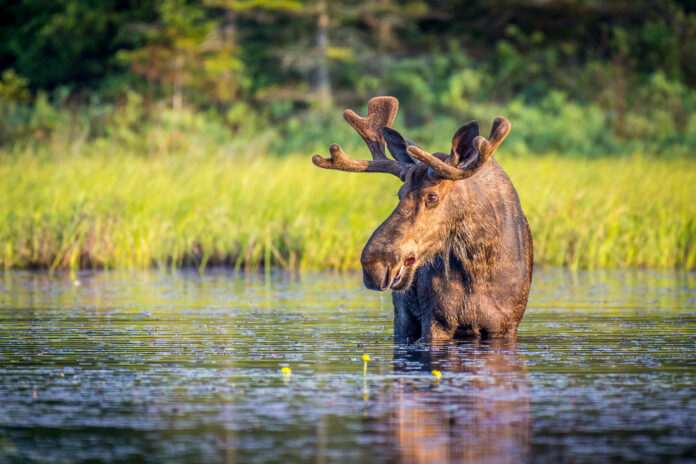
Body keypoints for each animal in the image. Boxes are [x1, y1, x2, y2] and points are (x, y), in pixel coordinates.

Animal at [312, 96, 533, 341]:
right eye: (399, 194)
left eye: (432, 196)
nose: (374, 264)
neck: (479, 268)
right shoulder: (435, 321)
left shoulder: (505, 326)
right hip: (403, 318)